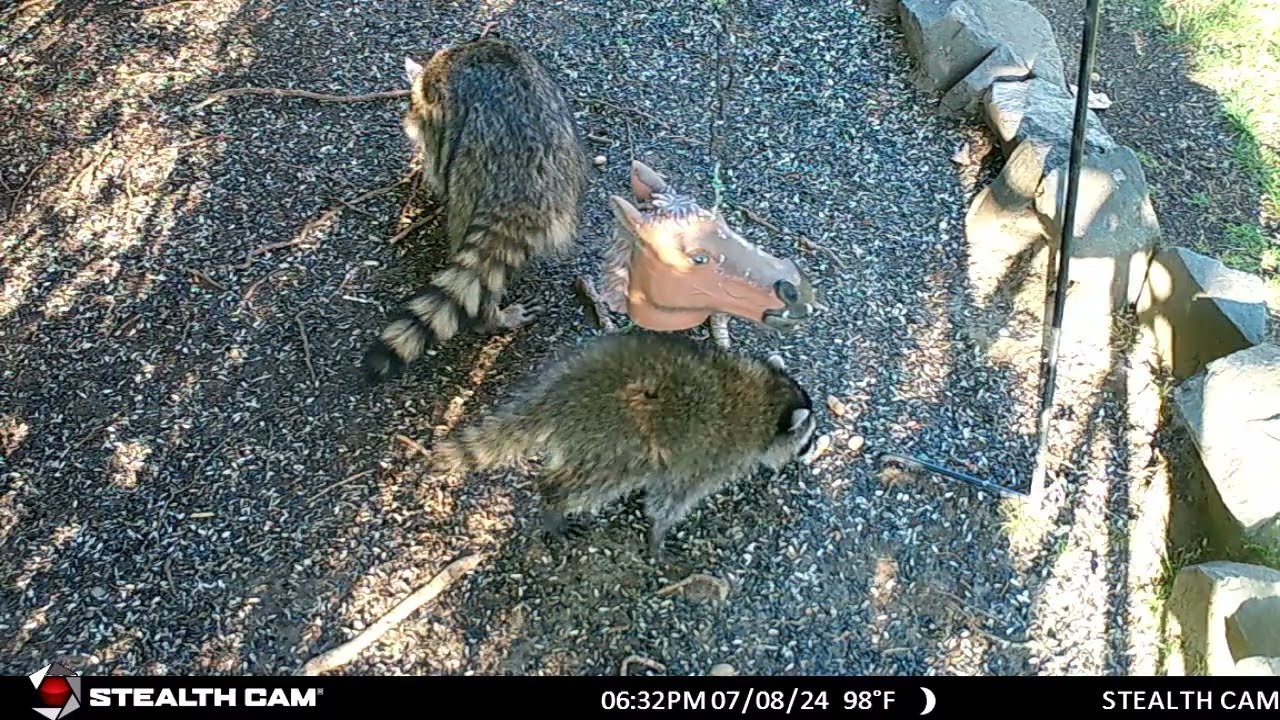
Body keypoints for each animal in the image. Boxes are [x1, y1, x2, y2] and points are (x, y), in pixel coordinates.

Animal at [362, 36, 590, 383]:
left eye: (411, 107)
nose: (406, 123)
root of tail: (522, 192)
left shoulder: (441, 112)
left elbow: (436, 158)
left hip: (469, 172)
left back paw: (487, 317)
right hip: (565, 177)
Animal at [430, 330, 820, 560]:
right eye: (807, 439)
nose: (810, 453)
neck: (764, 397)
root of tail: (559, 394)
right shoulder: (708, 460)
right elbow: (669, 500)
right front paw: (658, 535)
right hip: (613, 442)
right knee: (590, 483)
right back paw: (554, 503)